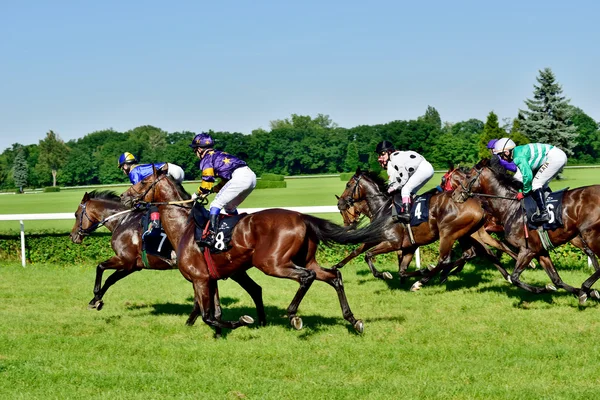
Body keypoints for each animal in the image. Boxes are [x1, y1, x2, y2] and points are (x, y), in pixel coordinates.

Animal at [68, 191, 268, 324]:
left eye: (76, 214)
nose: (73, 236)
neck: (123, 221)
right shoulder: (133, 266)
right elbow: (110, 279)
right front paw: (96, 300)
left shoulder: (126, 260)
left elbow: (101, 268)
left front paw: (95, 299)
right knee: (255, 289)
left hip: (231, 269)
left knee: (253, 289)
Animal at [120, 167, 394, 336]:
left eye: (143, 181)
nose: (123, 197)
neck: (184, 228)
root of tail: (302, 217)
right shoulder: (210, 279)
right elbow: (213, 311)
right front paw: (218, 331)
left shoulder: (199, 279)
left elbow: (209, 314)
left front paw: (241, 321)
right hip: (305, 259)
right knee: (332, 276)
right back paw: (353, 320)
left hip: (272, 263)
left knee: (307, 277)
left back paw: (292, 315)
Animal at [332, 169, 516, 290]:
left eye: (348, 184)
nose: (340, 203)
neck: (383, 209)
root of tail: (478, 204)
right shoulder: (407, 246)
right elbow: (400, 270)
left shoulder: (391, 242)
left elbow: (368, 255)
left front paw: (384, 274)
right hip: (469, 234)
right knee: (480, 251)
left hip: (448, 233)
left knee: (446, 259)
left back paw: (424, 281)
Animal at [452, 159, 600, 304]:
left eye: (468, 176)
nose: (454, 194)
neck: (511, 207)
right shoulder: (540, 251)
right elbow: (556, 280)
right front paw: (585, 293)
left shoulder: (527, 250)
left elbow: (514, 278)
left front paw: (546, 289)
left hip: (590, 235)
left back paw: (585, 286)